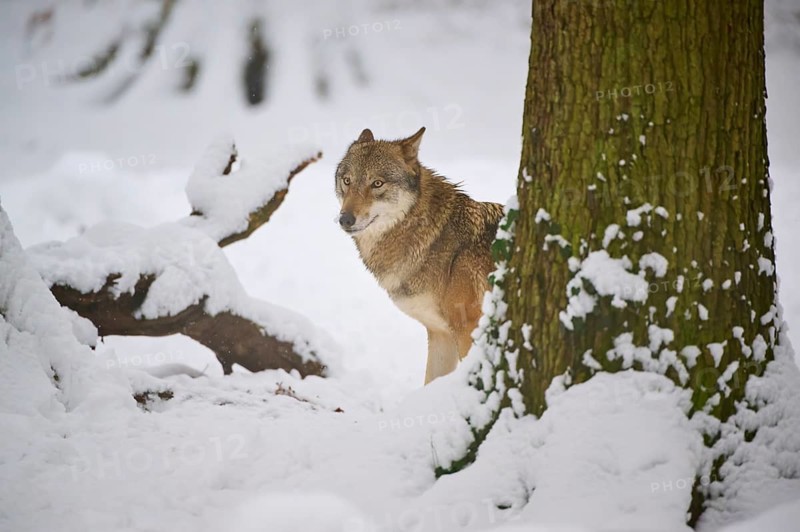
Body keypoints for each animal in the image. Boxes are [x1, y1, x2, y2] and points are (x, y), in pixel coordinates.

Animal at [334, 127, 505, 384]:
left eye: (377, 183)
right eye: (347, 181)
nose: (345, 219)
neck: (436, 240)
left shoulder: (468, 330)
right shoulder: (441, 335)